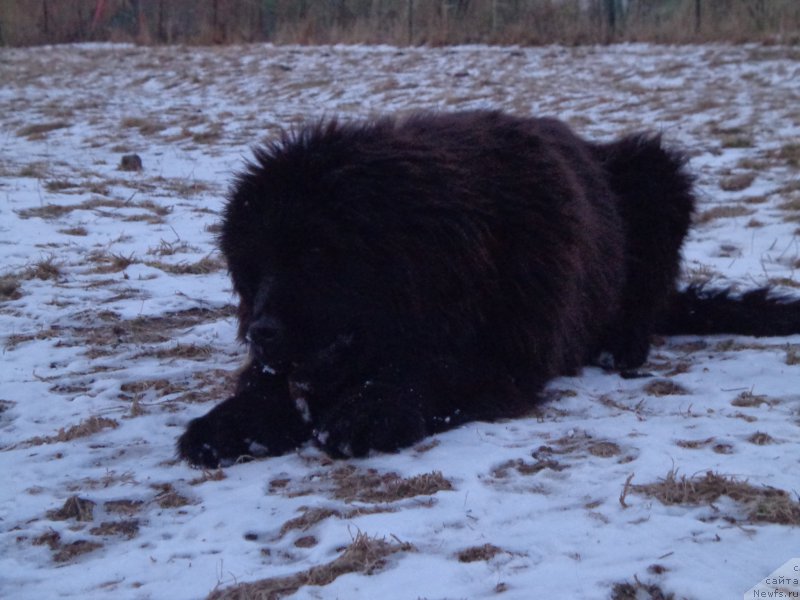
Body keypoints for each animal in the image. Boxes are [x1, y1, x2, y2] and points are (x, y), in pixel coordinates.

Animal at [178, 111, 796, 468]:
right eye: (253, 267)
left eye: (315, 255)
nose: (263, 331)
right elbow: (264, 386)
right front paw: (230, 423)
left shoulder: (511, 348)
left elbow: (430, 367)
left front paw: (369, 411)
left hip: (654, 172)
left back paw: (620, 346)